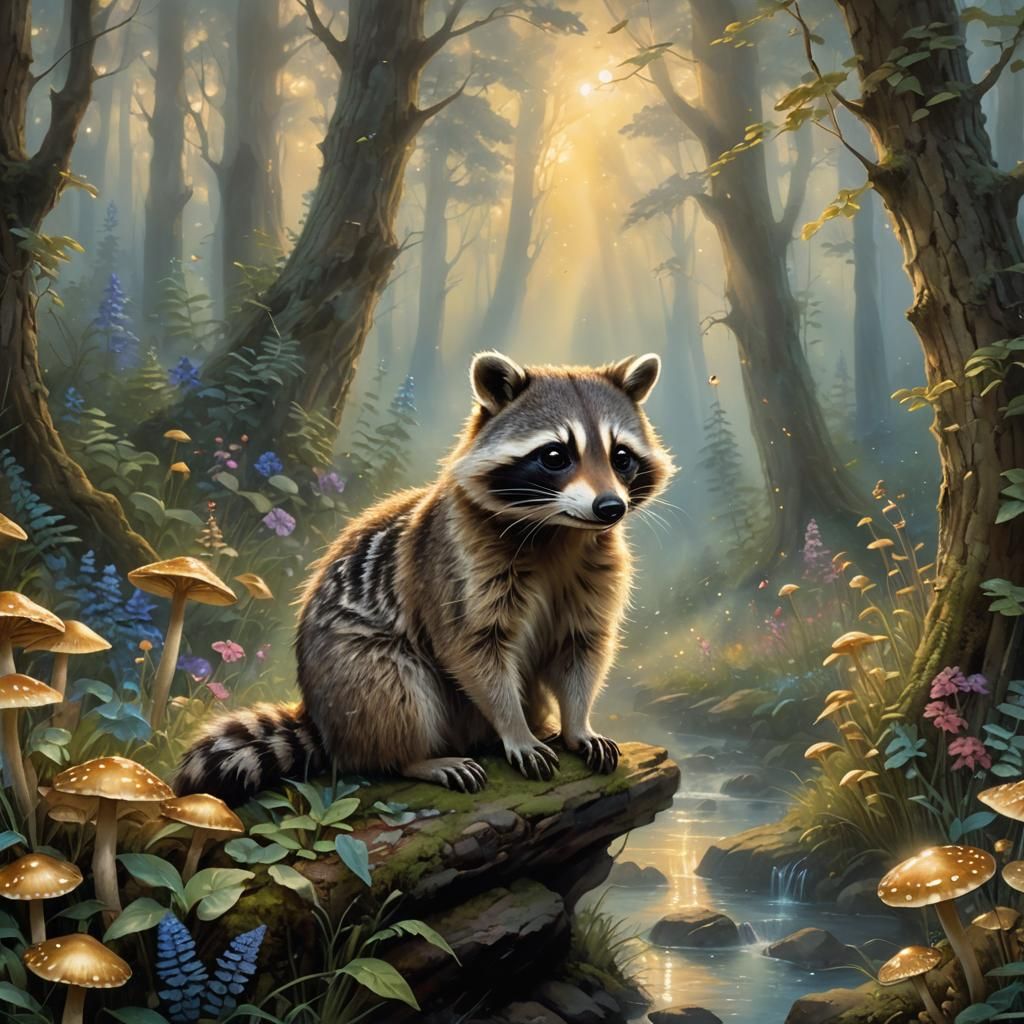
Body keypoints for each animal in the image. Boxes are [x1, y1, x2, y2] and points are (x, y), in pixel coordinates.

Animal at [175, 351, 675, 804]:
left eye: (621, 457)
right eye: (555, 455)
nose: (611, 508)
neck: (559, 530)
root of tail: (320, 718)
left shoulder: (597, 566)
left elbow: (581, 646)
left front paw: (577, 723)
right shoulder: (456, 562)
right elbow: (475, 651)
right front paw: (514, 728)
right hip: (352, 673)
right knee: (393, 691)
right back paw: (416, 757)